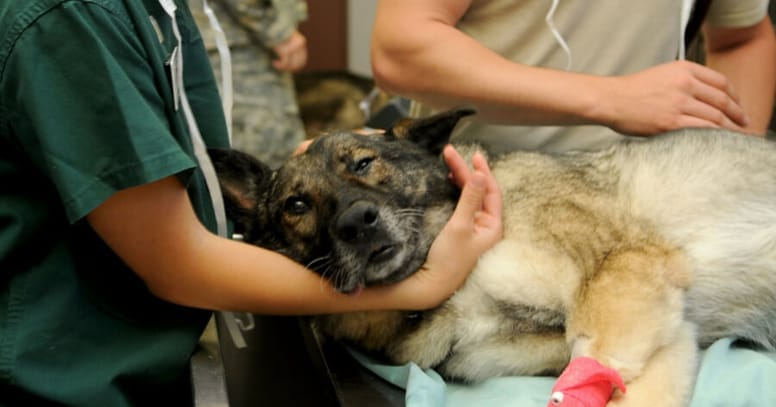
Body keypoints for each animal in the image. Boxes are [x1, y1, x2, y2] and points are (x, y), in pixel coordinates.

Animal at [208, 109, 776, 407]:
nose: (356, 222)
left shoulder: (624, 270)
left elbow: (598, 357)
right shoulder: (665, 331)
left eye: (365, 163)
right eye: (296, 205)